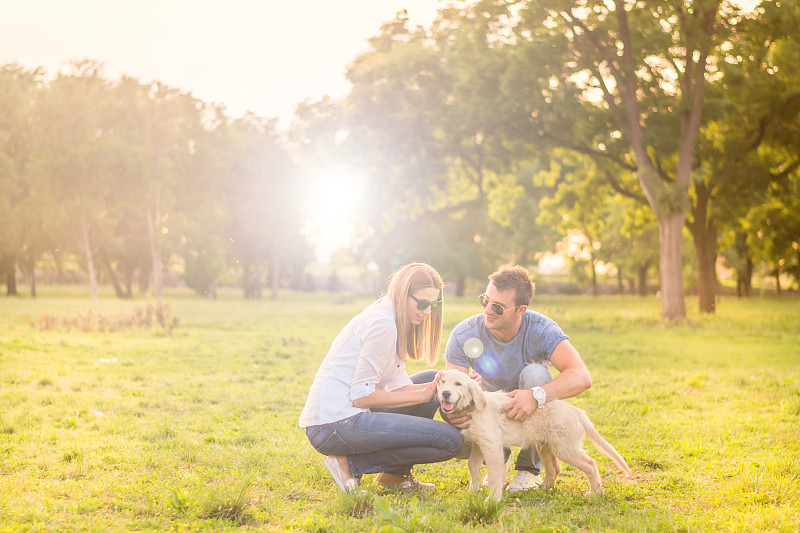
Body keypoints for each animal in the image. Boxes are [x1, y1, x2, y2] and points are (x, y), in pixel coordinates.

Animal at [438, 370, 632, 498]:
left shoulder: (491, 445)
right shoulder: (479, 444)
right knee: (554, 469)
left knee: (590, 464)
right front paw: (473, 489)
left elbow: (494, 474)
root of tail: (577, 411)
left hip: (565, 448)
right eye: (442, 382)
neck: (473, 408)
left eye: (458, 384)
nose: (445, 393)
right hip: (546, 445)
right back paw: (543, 488)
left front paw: (492, 499)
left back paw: (595, 492)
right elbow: (472, 465)